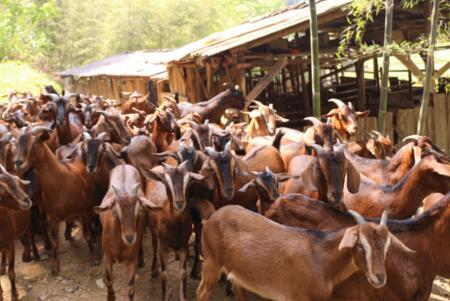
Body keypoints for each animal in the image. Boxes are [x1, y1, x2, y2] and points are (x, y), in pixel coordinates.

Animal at [95, 164, 158, 300]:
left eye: (140, 211)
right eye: (115, 211)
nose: (129, 238)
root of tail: (124, 165)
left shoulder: (131, 259)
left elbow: (131, 288)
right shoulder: (107, 256)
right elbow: (109, 280)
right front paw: (110, 296)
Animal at [197, 205, 412, 300]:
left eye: (387, 246)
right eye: (360, 244)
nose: (379, 277)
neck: (321, 260)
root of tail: (213, 216)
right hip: (211, 263)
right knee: (201, 292)